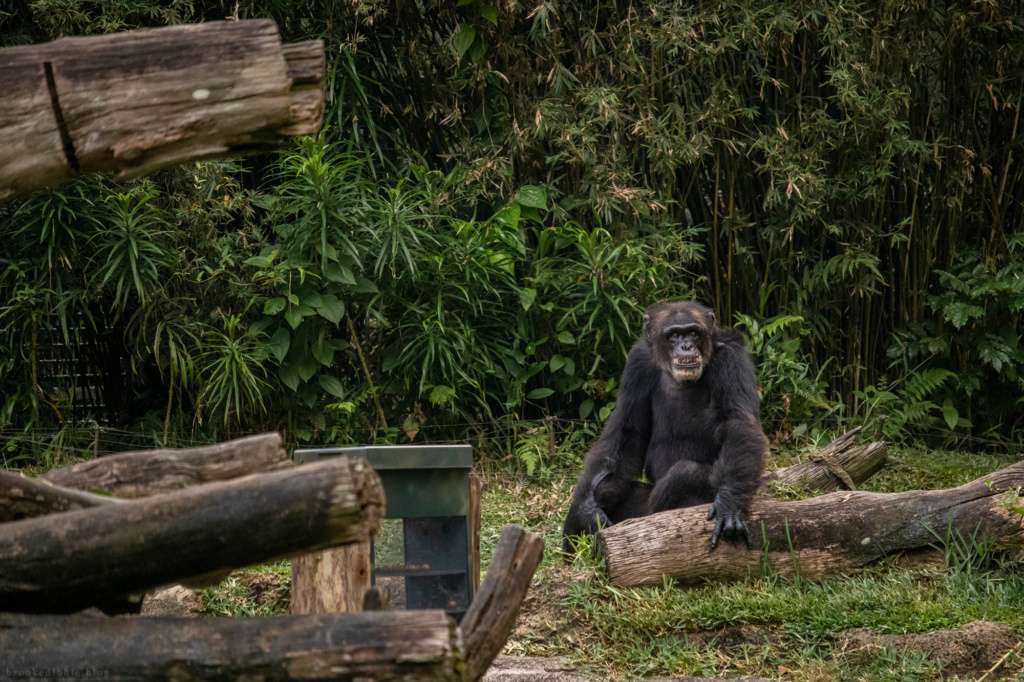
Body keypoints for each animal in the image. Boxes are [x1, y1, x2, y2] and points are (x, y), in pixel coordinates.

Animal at [561, 301, 770, 548]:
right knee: (607, 485)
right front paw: (585, 512)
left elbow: (737, 421)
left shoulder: (732, 358)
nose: (686, 346)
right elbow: (626, 430)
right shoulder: (637, 363)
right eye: (674, 335)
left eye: (693, 333)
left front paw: (729, 503)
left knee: (686, 474)